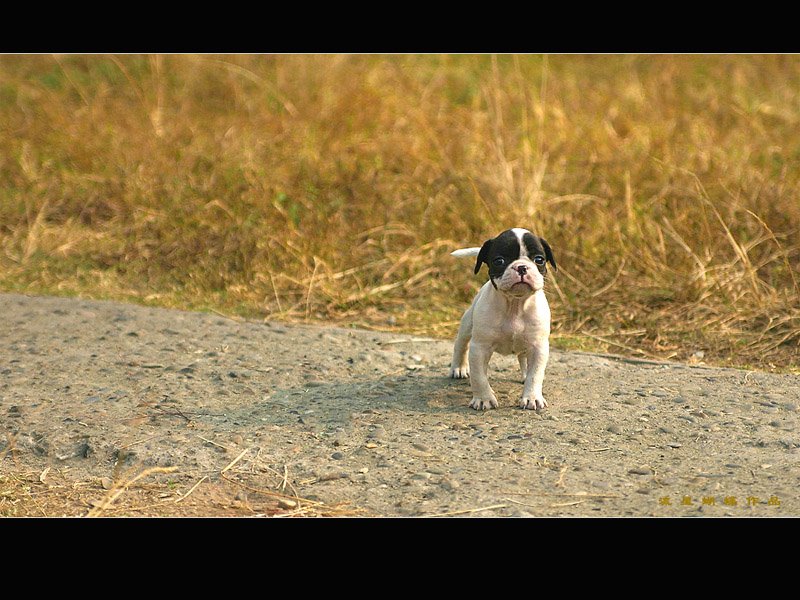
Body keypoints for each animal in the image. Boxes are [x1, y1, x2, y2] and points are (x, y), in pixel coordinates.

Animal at [450, 227, 556, 410]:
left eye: (539, 259)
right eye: (499, 261)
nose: (521, 267)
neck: (515, 304)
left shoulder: (538, 347)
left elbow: (535, 375)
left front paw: (532, 397)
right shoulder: (480, 348)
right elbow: (479, 377)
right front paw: (483, 398)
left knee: (523, 358)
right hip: (467, 324)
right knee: (461, 344)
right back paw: (459, 367)